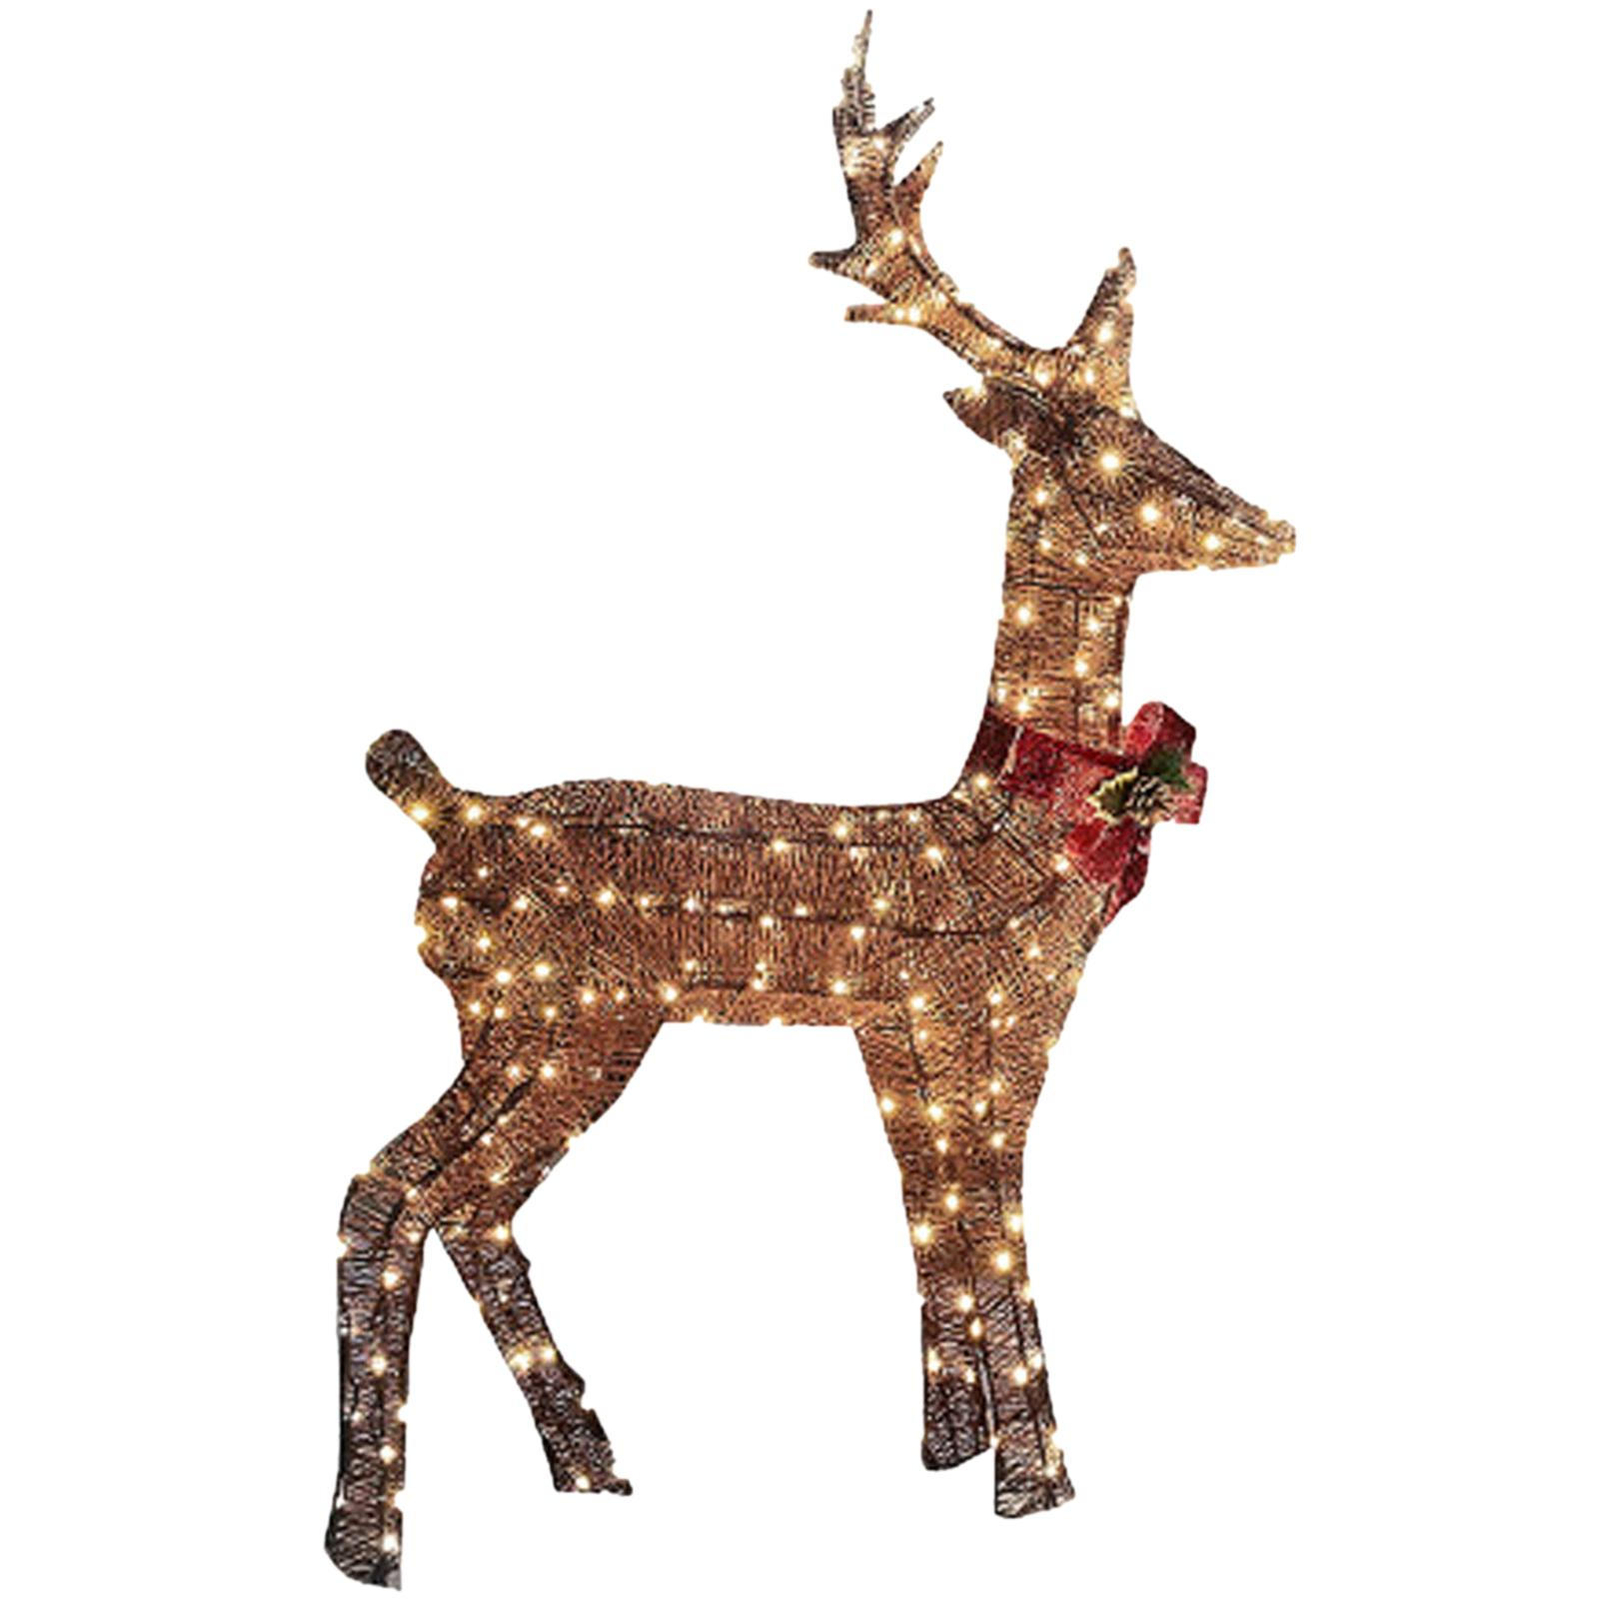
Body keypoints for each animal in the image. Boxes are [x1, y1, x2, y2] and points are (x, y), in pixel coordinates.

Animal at [325, 13, 1293, 1586]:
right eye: (1104, 451)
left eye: (1161, 429)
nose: (1271, 523)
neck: (1019, 825)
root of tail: (440, 805)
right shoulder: (985, 1023)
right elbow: (997, 1220)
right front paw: (1043, 1487)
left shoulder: (892, 1041)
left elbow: (934, 1225)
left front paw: (950, 1450)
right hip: (547, 1011)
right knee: (389, 1187)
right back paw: (372, 1539)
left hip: (554, 1025)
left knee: (465, 1207)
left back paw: (591, 1465)